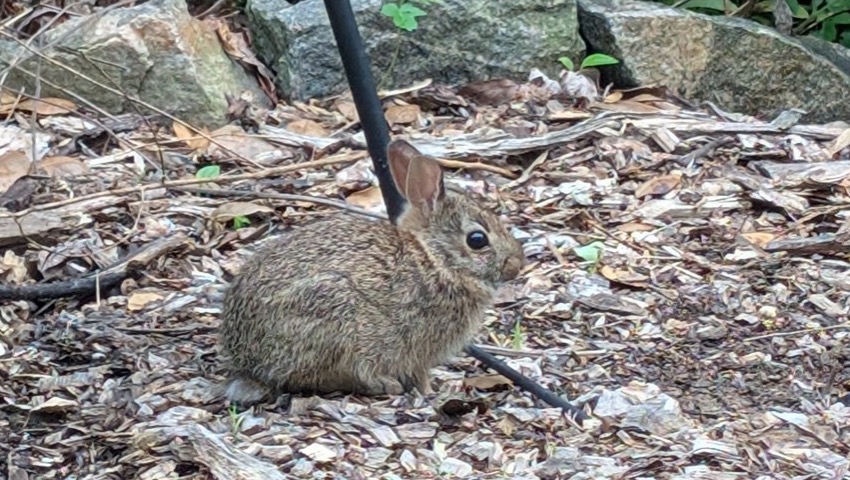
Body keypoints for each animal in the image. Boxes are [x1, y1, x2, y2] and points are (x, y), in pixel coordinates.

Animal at [218, 138, 526, 405]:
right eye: (477, 240)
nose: (516, 264)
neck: (435, 258)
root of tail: (248, 359)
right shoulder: (420, 346)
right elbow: (420, 373)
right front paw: (431, 392)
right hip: (333, 318)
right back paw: (383, 384)